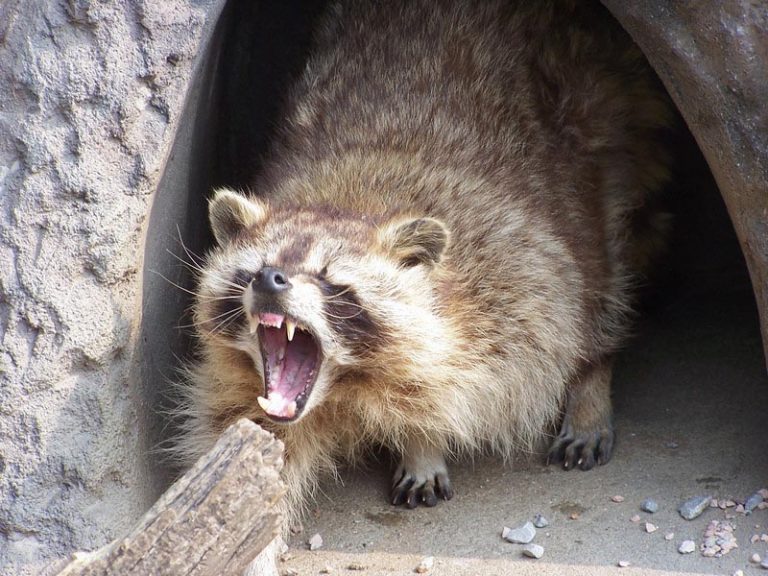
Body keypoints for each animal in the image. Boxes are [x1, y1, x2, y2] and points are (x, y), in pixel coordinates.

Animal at [175, 0, 672, 525]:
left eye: (329, 280)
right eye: (255, 270)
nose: (271, 282)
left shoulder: (511, 270)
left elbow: (496, 368)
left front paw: (423, 437)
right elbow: (247, 439)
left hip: (598, 120)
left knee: (601, 268)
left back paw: (592, 379)